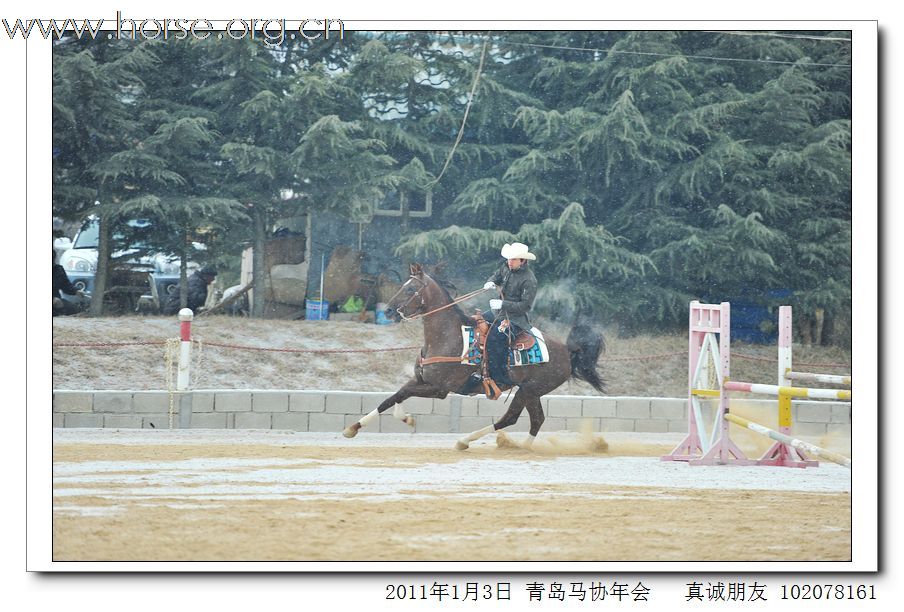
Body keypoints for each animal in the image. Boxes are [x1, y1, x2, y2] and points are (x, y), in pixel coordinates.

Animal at [340, 262, 608, 450]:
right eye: (404, 285)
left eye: (412, 288)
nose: (387, 311)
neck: (448, 337)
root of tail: (567, 350)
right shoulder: (421, 379)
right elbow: (393, 398)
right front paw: (355, 427)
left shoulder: (439, 389)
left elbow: (401, 395)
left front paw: (403, 419)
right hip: (531, 392)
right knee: (532, 419)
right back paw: (515, 446)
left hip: (529, 390)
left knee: (516, 418)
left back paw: (470, 441)